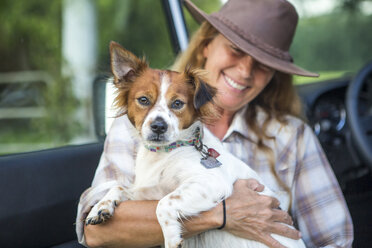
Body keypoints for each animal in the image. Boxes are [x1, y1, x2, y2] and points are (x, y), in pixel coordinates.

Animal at [86, 41, 306, 248]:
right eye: (143, 100)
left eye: (177, 103)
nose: (158, 126)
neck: (166, 153)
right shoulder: (153, 190)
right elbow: (120, 187)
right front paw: (100, 207)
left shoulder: (211, 182)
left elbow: (163, 204)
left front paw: (172, 238)